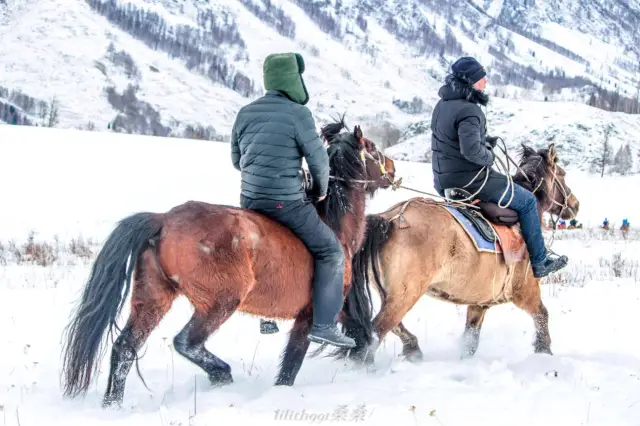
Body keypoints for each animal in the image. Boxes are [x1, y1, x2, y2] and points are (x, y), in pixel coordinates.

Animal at [60, 118, 398, 408]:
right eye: (372, 147)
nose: (394, 169)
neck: (335, 226)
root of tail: (164, 220)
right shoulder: (313, 315)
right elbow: (294, 362)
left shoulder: (338, 311)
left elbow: (362, 336)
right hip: (219, 301)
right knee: (186, 342)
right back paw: (221, 373)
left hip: (153, 299)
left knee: (125, 348)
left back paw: (112, 404)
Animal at [328, 142, 580, 365]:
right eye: (563, 174)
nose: (575, 204)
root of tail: (389, 218)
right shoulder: (525, 291)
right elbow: (542, 315)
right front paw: (543, 351)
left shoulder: (479, 303)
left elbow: (470, 340)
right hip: (404, 296)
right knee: (375, 332)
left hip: (390, 295)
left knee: (390, 327)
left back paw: (413, 349)